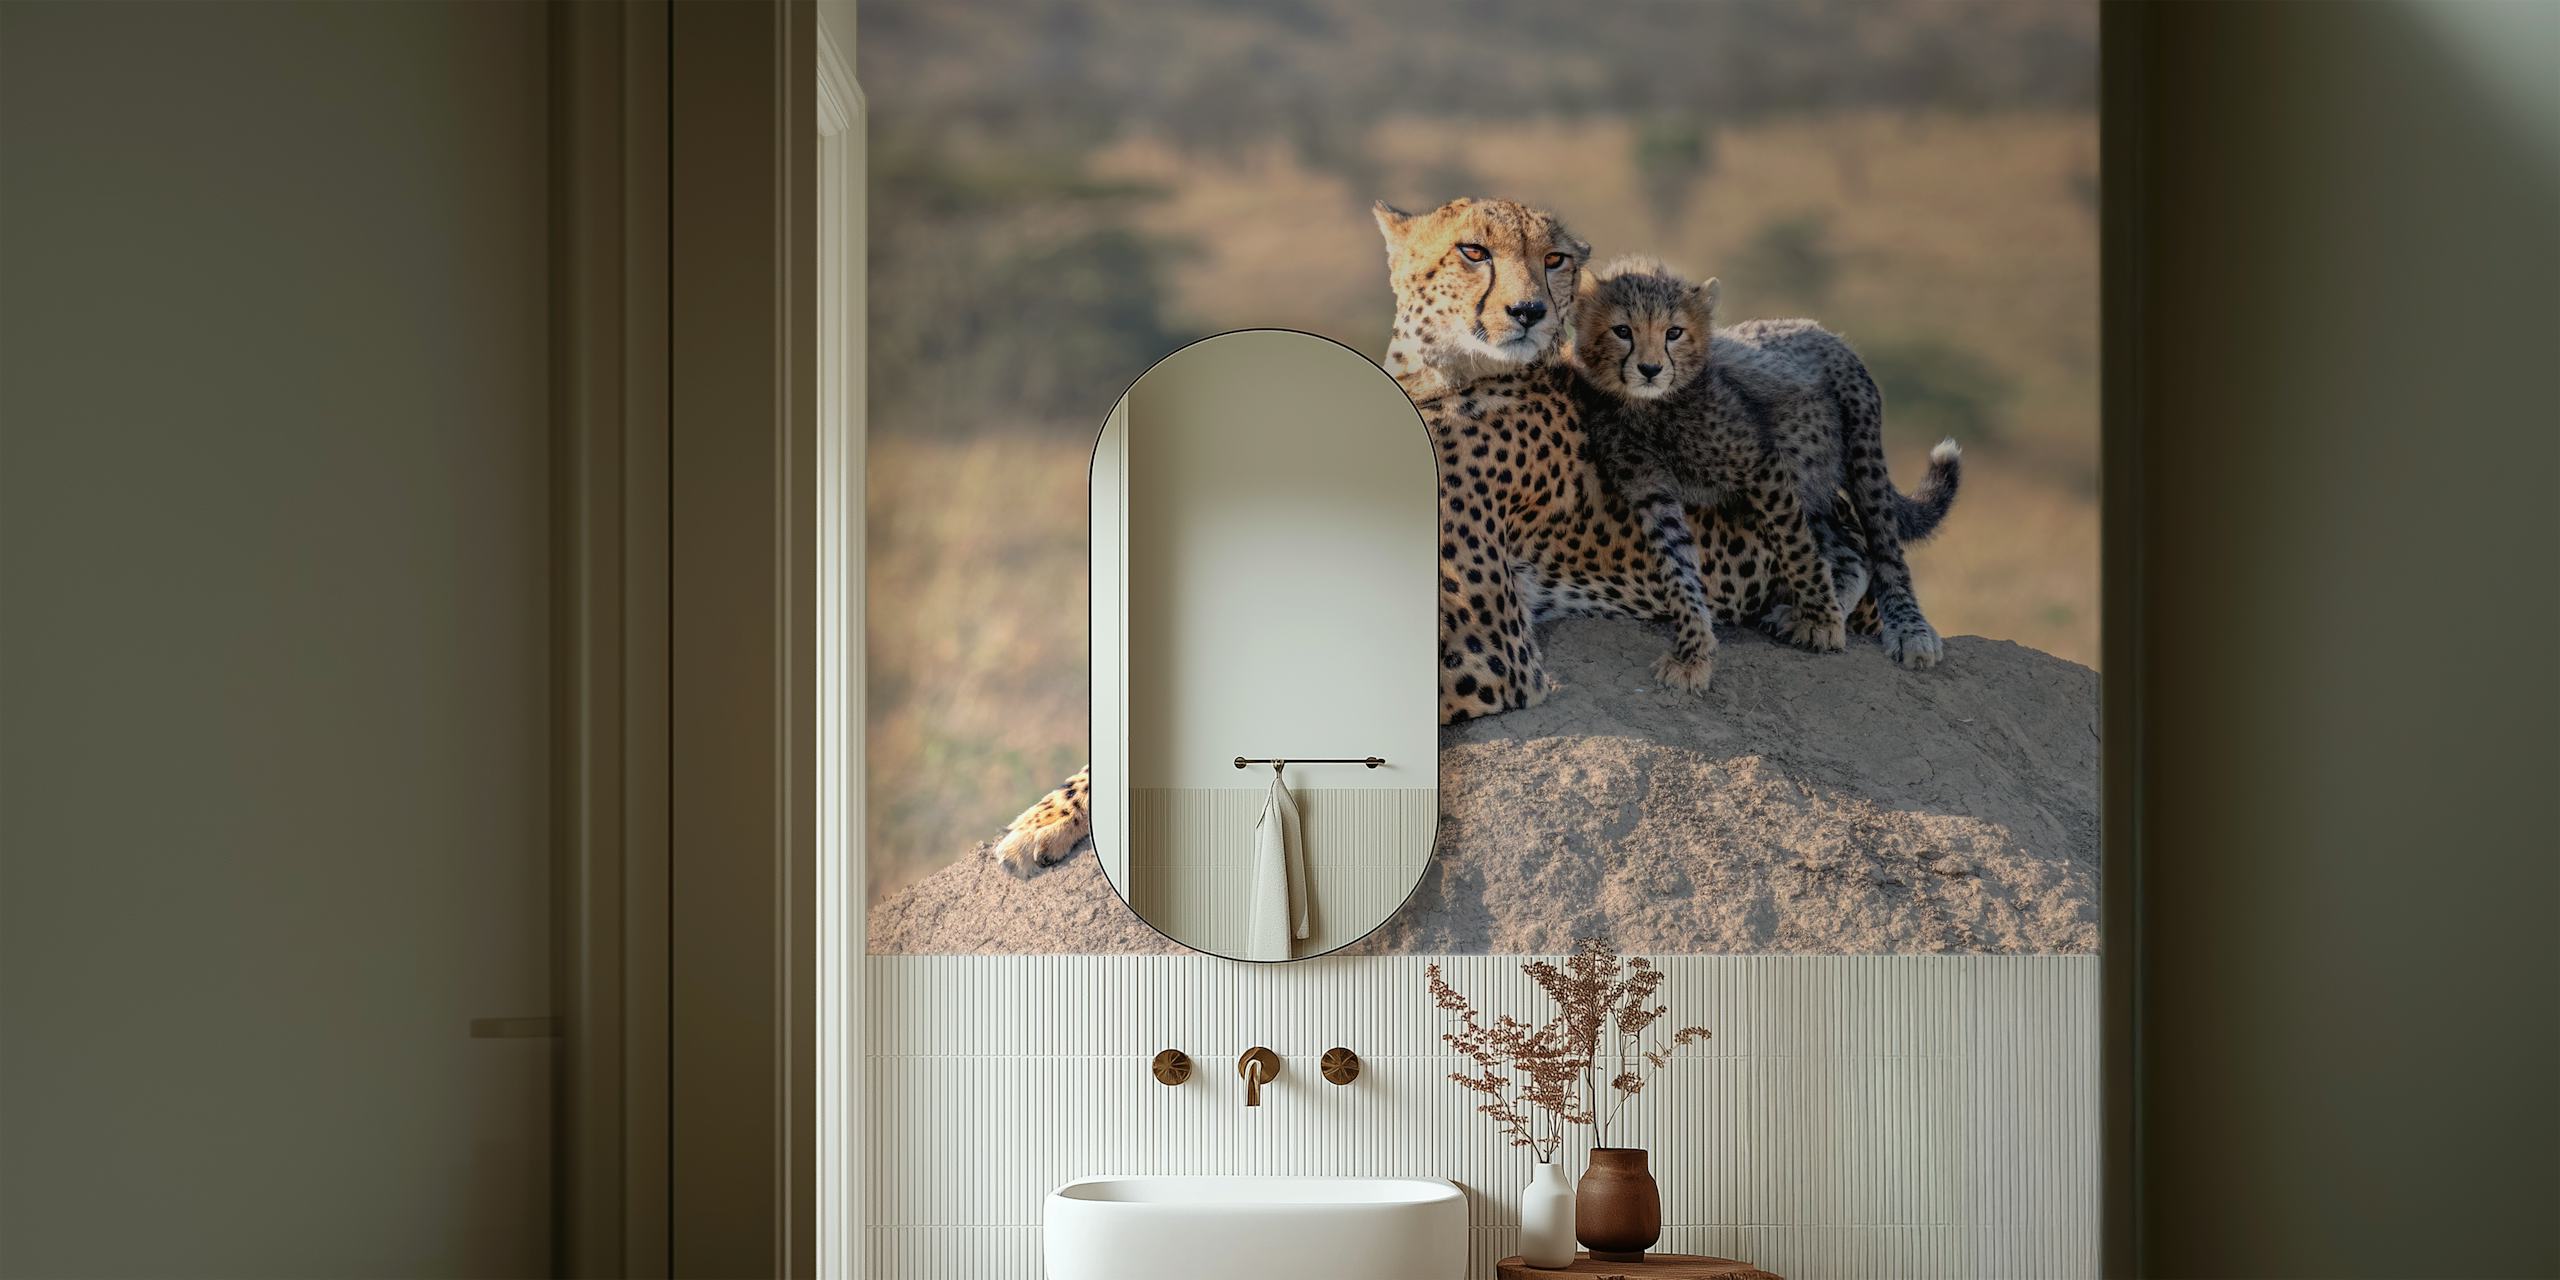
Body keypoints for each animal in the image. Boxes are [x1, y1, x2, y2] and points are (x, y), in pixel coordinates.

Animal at [1572, 257, 1963, 681]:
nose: (1649, 369)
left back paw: (1908, 629)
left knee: (1884, 545)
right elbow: (1678, 569)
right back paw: (1813, 609)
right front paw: (1692, 653)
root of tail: (1817, 327)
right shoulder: (1651, 492)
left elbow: (1797, 549)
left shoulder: (1761, 466)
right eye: (1622, 331)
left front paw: (1823, 622)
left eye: (1673, 332)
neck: (1649, 409)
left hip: (1861, 454)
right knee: (1849, 552)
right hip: (1810, 479)